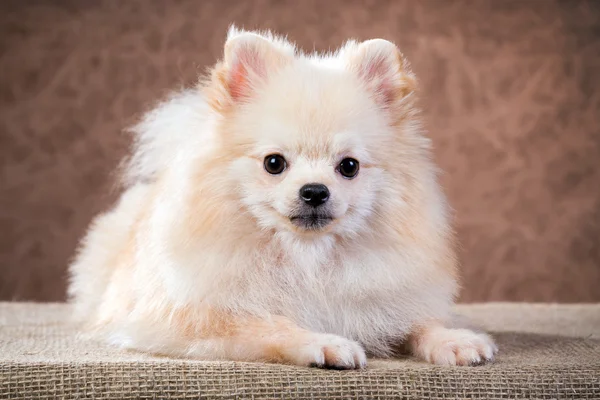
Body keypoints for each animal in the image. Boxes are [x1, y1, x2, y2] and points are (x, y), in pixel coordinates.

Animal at [68, 25, 496, 368]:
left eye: (349, 166)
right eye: (274, 163)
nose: (314, 191)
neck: (306, 256)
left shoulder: (386, 300)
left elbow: (420, 322)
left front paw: (453, 339)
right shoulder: (186, 317)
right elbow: (269, 323)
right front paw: (324, 342)